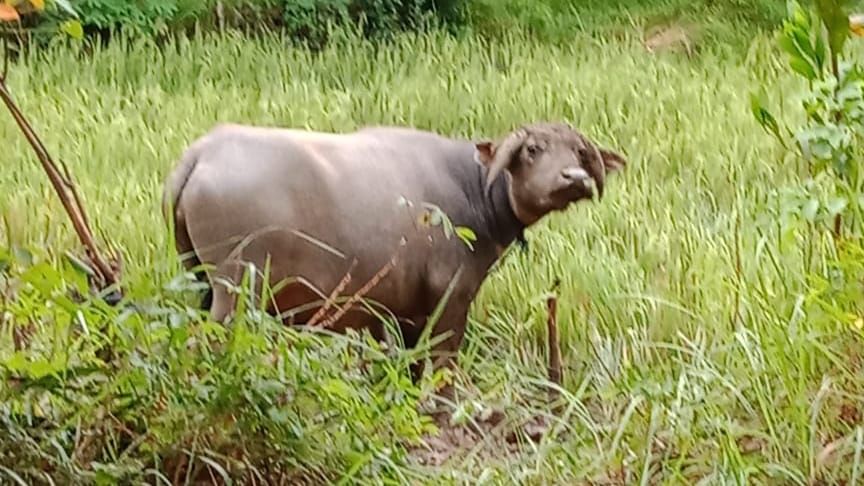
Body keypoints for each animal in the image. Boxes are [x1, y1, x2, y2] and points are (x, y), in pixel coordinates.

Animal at [162, 122, 624, 392]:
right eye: (532, 150)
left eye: (580, 153)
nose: (574, 178)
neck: (473, 189)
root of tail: (201, 153)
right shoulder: (451, 297)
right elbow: (443, 363)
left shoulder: (402, 312)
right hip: (237, 290)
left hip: (200, 280)